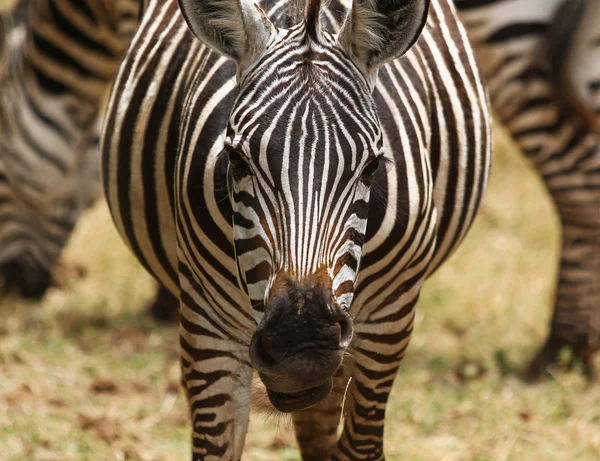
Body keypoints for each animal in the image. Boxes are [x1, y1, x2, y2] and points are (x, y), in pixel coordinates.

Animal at [102, 0, 492, 456]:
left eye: (372, 166)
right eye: (236, 160)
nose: (300, 342)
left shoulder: (391, 320)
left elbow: (359, 445)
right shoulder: (206, 322)